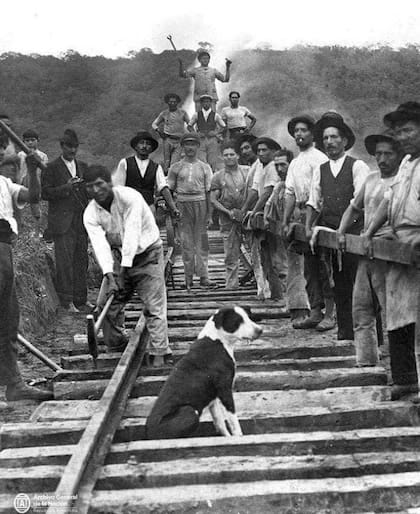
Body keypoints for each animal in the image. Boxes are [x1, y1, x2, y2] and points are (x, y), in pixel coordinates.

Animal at [146, 306, 260, 438]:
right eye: (238, 321)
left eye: (248, 317)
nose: (260, 330)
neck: (218, 340)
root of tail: (148, 433)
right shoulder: (225, 391)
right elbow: (234, 422)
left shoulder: (213, 398)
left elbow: (220, 423)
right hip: (190, 412)